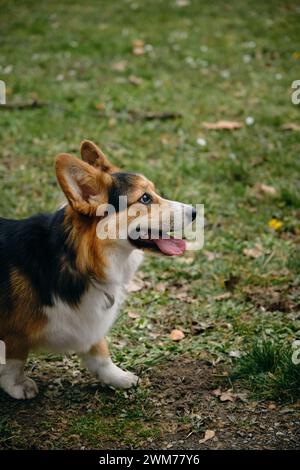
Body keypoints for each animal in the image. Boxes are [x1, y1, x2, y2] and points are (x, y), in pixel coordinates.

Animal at [0, 141, 196, 398]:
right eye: (145, 198)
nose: (195, 212)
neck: (77, 260)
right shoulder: (13, 332)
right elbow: (14, 357)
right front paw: (16, 385)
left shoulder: (88, 323)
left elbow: (100, 355)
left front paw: (119, 378)